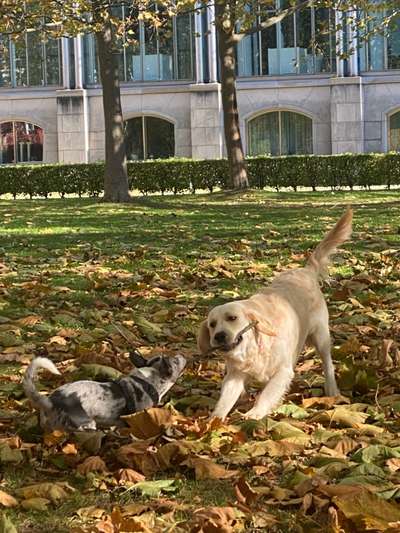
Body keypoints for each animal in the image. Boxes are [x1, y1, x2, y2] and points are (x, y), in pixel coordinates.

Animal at [198, 208, 354, 420]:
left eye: (232, 318)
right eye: (212, 324)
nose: (219, 336)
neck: (254, 347)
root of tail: (306, 270)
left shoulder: (283, 371)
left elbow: (266, 395)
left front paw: (254, 413)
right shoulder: (235, 376)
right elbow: (224, 401)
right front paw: (214, 420)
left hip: (321, 335)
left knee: (327, 363)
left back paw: (332, 389)